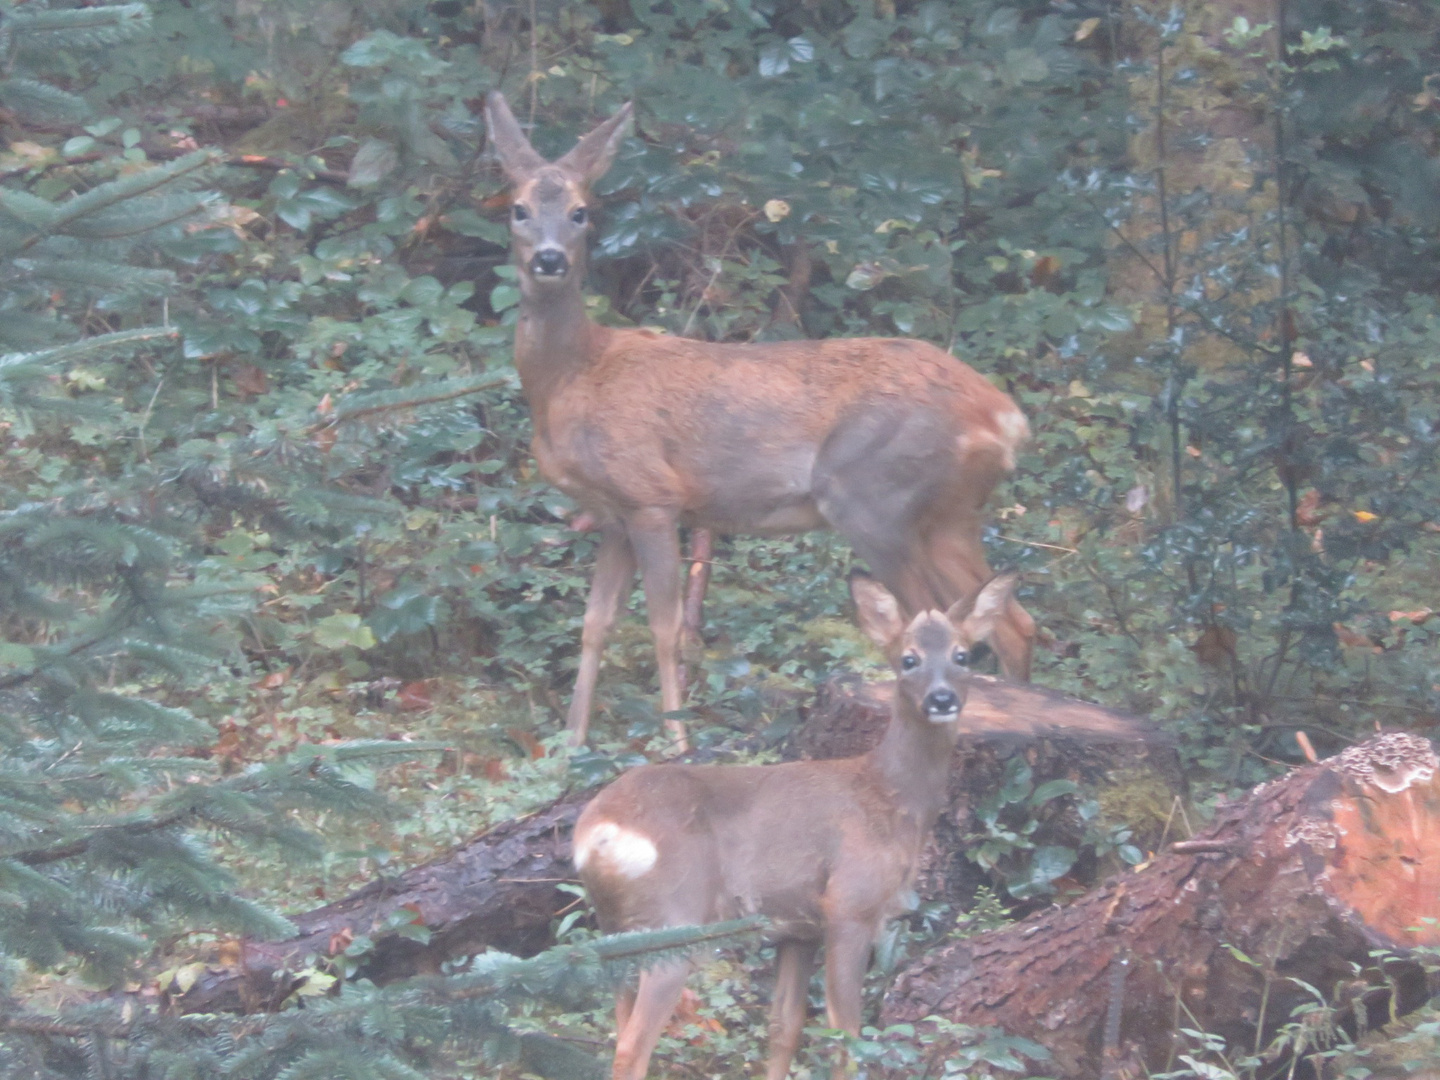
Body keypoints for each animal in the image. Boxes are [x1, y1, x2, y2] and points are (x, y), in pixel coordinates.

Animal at [483, 92, 1036, 748]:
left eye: (580, 212)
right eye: (518, 209)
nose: (548, 259)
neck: (574, 377)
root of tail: (1004, 416)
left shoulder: (652, 496)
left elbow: (667, 629)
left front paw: (677, 745)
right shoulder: (612, 515)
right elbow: (594, 625)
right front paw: (570, 747)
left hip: (874, 498)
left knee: (932, 620)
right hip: (951, 514)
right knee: (1013, 622)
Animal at [567, 570, 1019, 1077]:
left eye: (963, 655)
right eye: (908, 658)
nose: (942, 699)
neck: (889, 796)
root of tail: (599, 830)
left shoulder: (797, 930)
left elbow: (784, 1029)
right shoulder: (849, 904)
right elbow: (846, 1036)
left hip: (615, 929)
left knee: (618, 1026)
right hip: (673, 919)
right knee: (632, 1046)